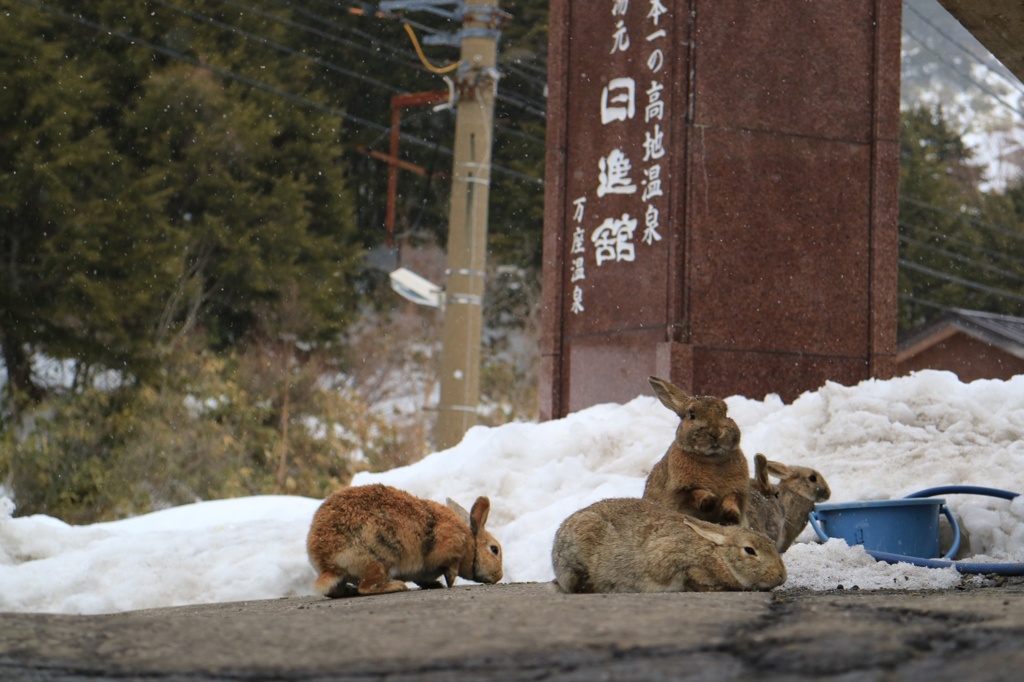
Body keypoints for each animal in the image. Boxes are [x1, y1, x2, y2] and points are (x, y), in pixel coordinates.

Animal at [303, 481, 503, 598]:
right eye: (494, 549)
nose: (499, 576)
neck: (470, 543)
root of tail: (328, 563)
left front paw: (436, 584)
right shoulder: (449, 550)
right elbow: (450, 567)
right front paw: (449, 581)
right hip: (379, 558)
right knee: (366, 587)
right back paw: (396, 586)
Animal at [643, 374, 749, 522]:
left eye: (726, 413)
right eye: (692, 415)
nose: (715, 432)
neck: (712, 458)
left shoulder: (737, 491)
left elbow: (731, 498)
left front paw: (731, 514)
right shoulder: (680, 489)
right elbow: (695, 493)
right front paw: (710, 501)